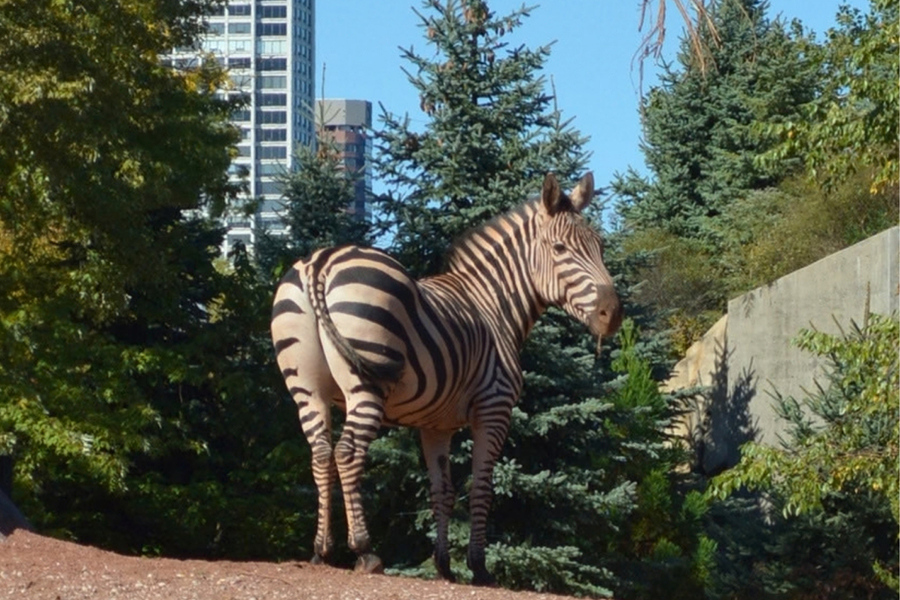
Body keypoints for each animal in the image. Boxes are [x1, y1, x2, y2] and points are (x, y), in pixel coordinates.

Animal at [270, 172, 622, 585]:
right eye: (560, 248)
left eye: (600, 247)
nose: (613, 314)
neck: (494, 304)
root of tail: (320, 262)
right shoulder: (494, 409)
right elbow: (482, 488)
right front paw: (479, 566)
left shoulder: (435, 424)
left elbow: (443, 491)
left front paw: (443, 565)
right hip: (366, 384)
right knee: (347, 453)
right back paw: (365, 550)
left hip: (306, 388)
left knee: (322, 453)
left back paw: (321, 551)